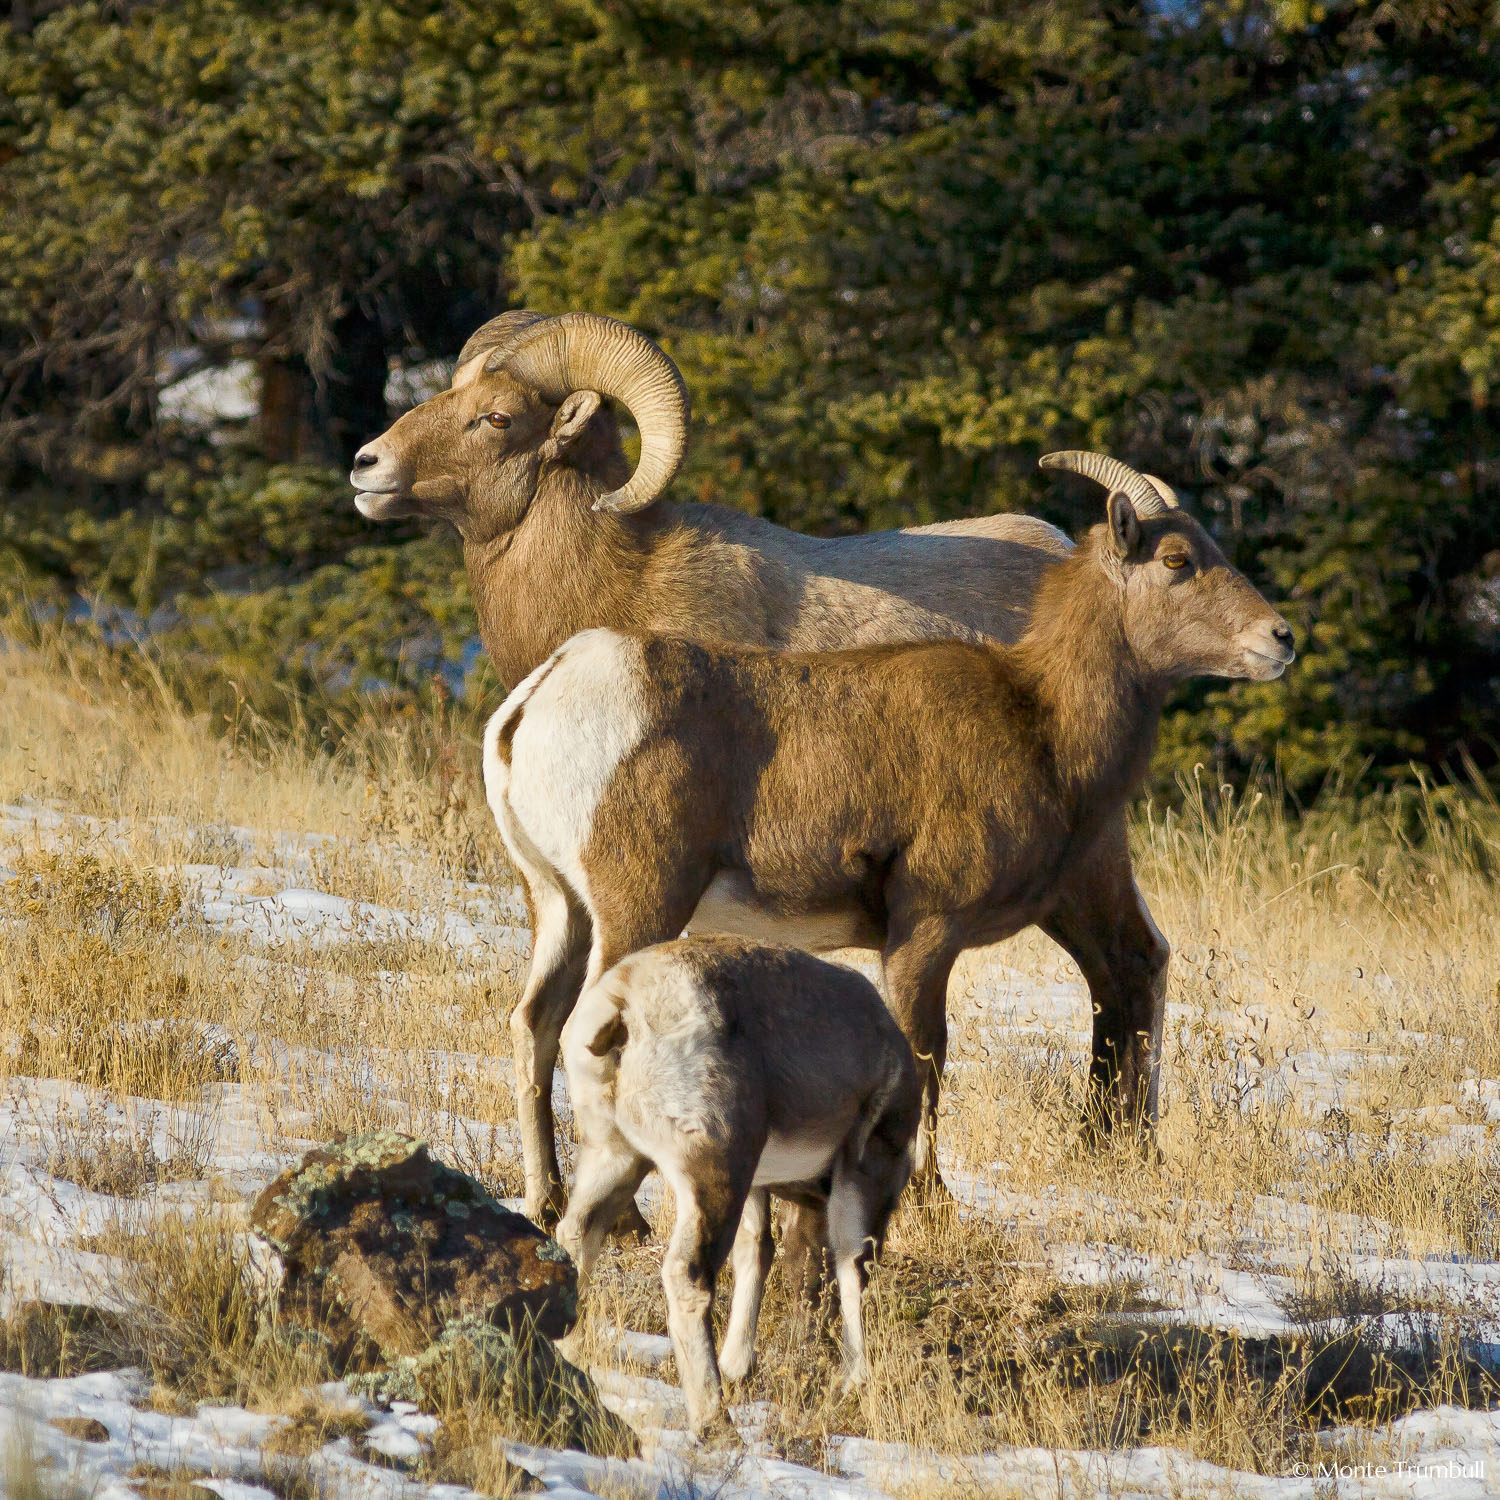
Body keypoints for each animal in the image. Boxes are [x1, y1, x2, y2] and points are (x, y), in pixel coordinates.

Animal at [489, 471, 1290, 1206]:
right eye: (1178, 560)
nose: (1279, 639)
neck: (1041, 719)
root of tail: (539, 697)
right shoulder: (926, 930)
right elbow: (924, 1053)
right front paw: (930, 1197)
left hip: (563, 908)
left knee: (535, 1024)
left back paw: (546, 1198)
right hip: (638, 907)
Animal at [558, 936, 918, 1428]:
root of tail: (623, 1003)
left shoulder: (756, 1187)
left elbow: (757, 1252)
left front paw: (737, 1367)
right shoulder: (860, 1178)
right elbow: (852, 1266)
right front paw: (852, 1382)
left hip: (616, 1158)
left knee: (576, 1235)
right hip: (713, 1177)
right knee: (688, 1274)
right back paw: (715, 1420)